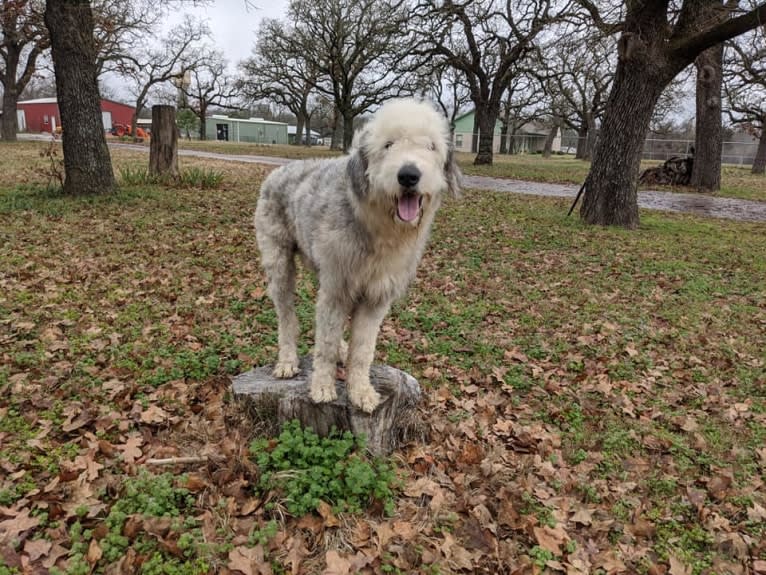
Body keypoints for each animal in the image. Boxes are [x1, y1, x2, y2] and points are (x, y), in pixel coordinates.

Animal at [256, 100, 462, 414]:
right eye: (388, 145)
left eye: (430, 146)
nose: (409, 175)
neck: (378, 226)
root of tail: (280, 169)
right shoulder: (337, 288)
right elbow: (325, 346)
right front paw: (323, 387)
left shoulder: (375, 296)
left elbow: (363, 350)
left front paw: (361, 391)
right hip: (279, 263)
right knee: (287, 316)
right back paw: (288, 361)